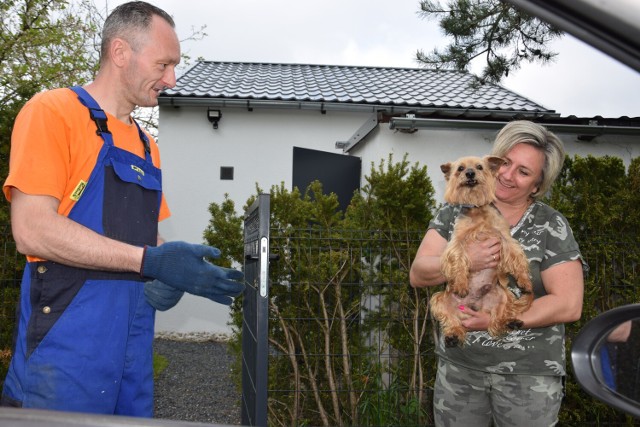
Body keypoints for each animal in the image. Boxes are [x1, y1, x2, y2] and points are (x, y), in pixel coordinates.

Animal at [430, 156, 536, 348]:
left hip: (502, 294)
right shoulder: (457, 242)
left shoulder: (505, 238)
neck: (477, 208)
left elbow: (517, 257)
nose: (470, 173)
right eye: (460, 168)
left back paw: (510, 322)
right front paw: (461, 283)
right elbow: (458, 259)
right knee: (451, 320)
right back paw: (452, 336)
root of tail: (472, 307)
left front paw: (524, 281)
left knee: (497, 319)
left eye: (479, 167)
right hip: (439, 299)